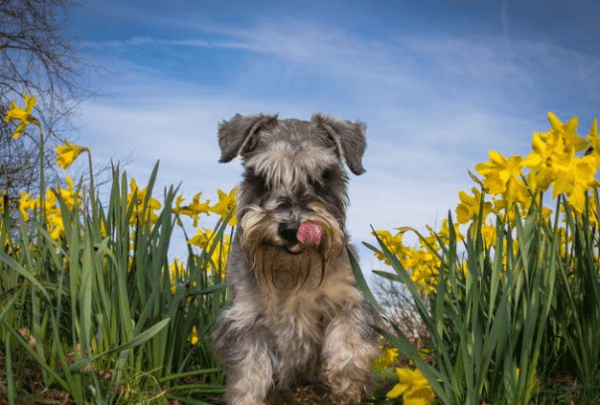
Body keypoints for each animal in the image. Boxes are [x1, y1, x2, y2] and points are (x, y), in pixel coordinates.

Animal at [211, 113, 380, 404]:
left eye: (321, 178)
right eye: (262, 179)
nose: (291, 229)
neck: (292, 273)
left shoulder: (352, 299)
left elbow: (349, 343)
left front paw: (345, 386)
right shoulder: (246, 321)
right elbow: (249, 375)